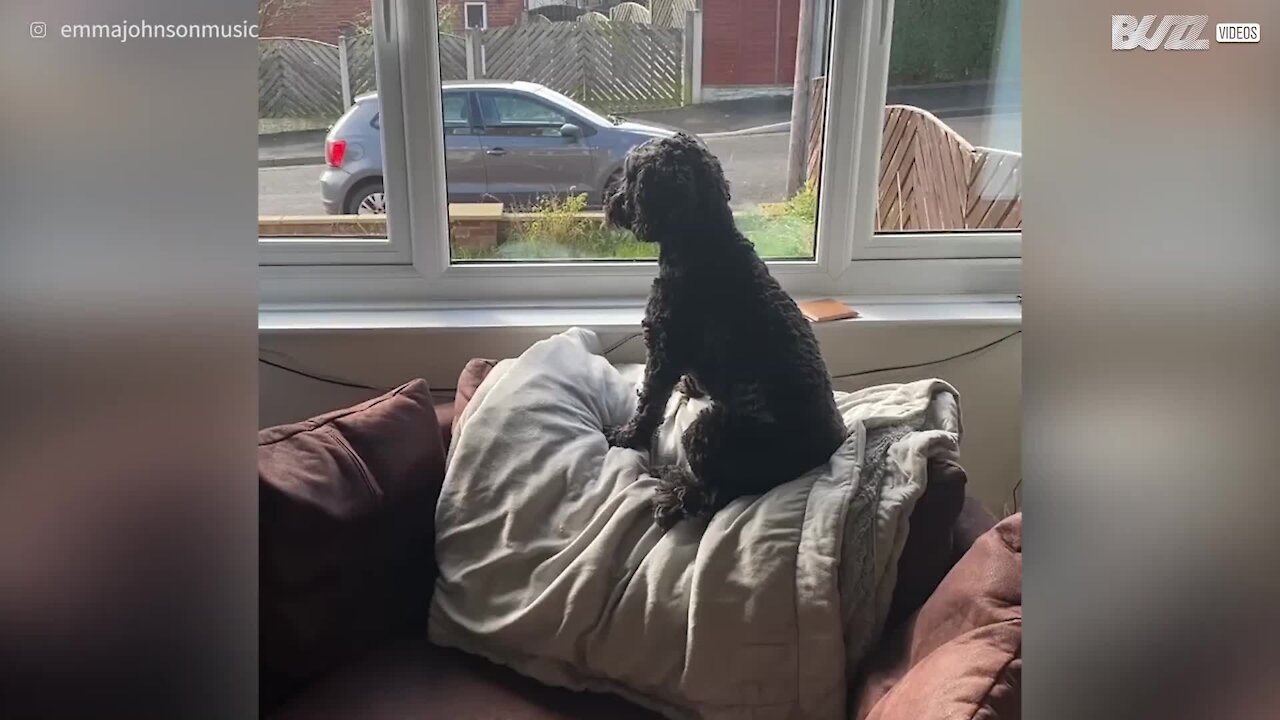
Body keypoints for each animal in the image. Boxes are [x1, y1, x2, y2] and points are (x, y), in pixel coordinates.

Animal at [601, 133, 849, 527]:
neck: (705, 241)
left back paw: (675, 491)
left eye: (632, 173)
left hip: (707, 431)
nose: (610, 200)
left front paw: (627, 436)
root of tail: (830, 446)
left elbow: (649, 403)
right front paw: (692, 385)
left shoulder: (663, 350)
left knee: (715, 492)